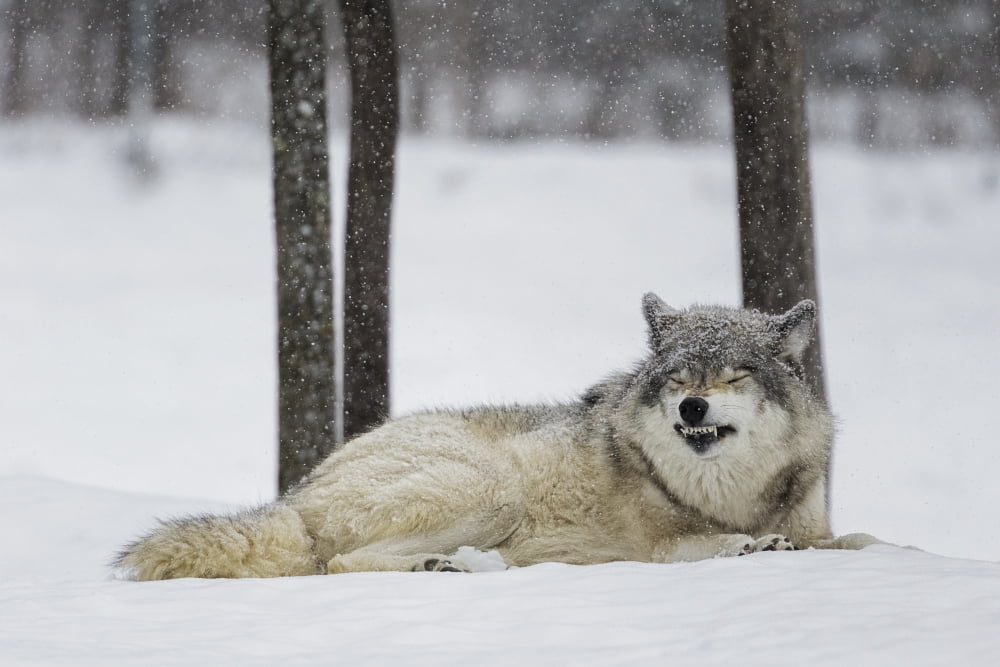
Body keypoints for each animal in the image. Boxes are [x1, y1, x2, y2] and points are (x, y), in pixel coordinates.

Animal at [116, 293, 882, 580]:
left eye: (732, 375)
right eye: (676, 379)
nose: (692, 407)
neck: (730, 491)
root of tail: (296, 493)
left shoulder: (815, 522)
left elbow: (861, 540)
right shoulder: (653, 544)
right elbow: (702, 545)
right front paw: (749, 545)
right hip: (492, 489)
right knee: (337, 563)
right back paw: (450, 566)